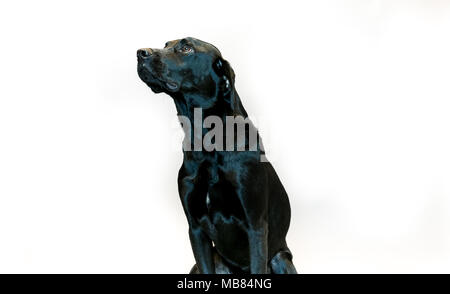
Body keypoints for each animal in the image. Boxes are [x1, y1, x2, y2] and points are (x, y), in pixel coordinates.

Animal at [138, 37, 298, 274]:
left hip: (281, 260)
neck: (208, 143)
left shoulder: (256, 226)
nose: (140, 53)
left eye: (186, 48)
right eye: (166, 44)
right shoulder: (195, 229)